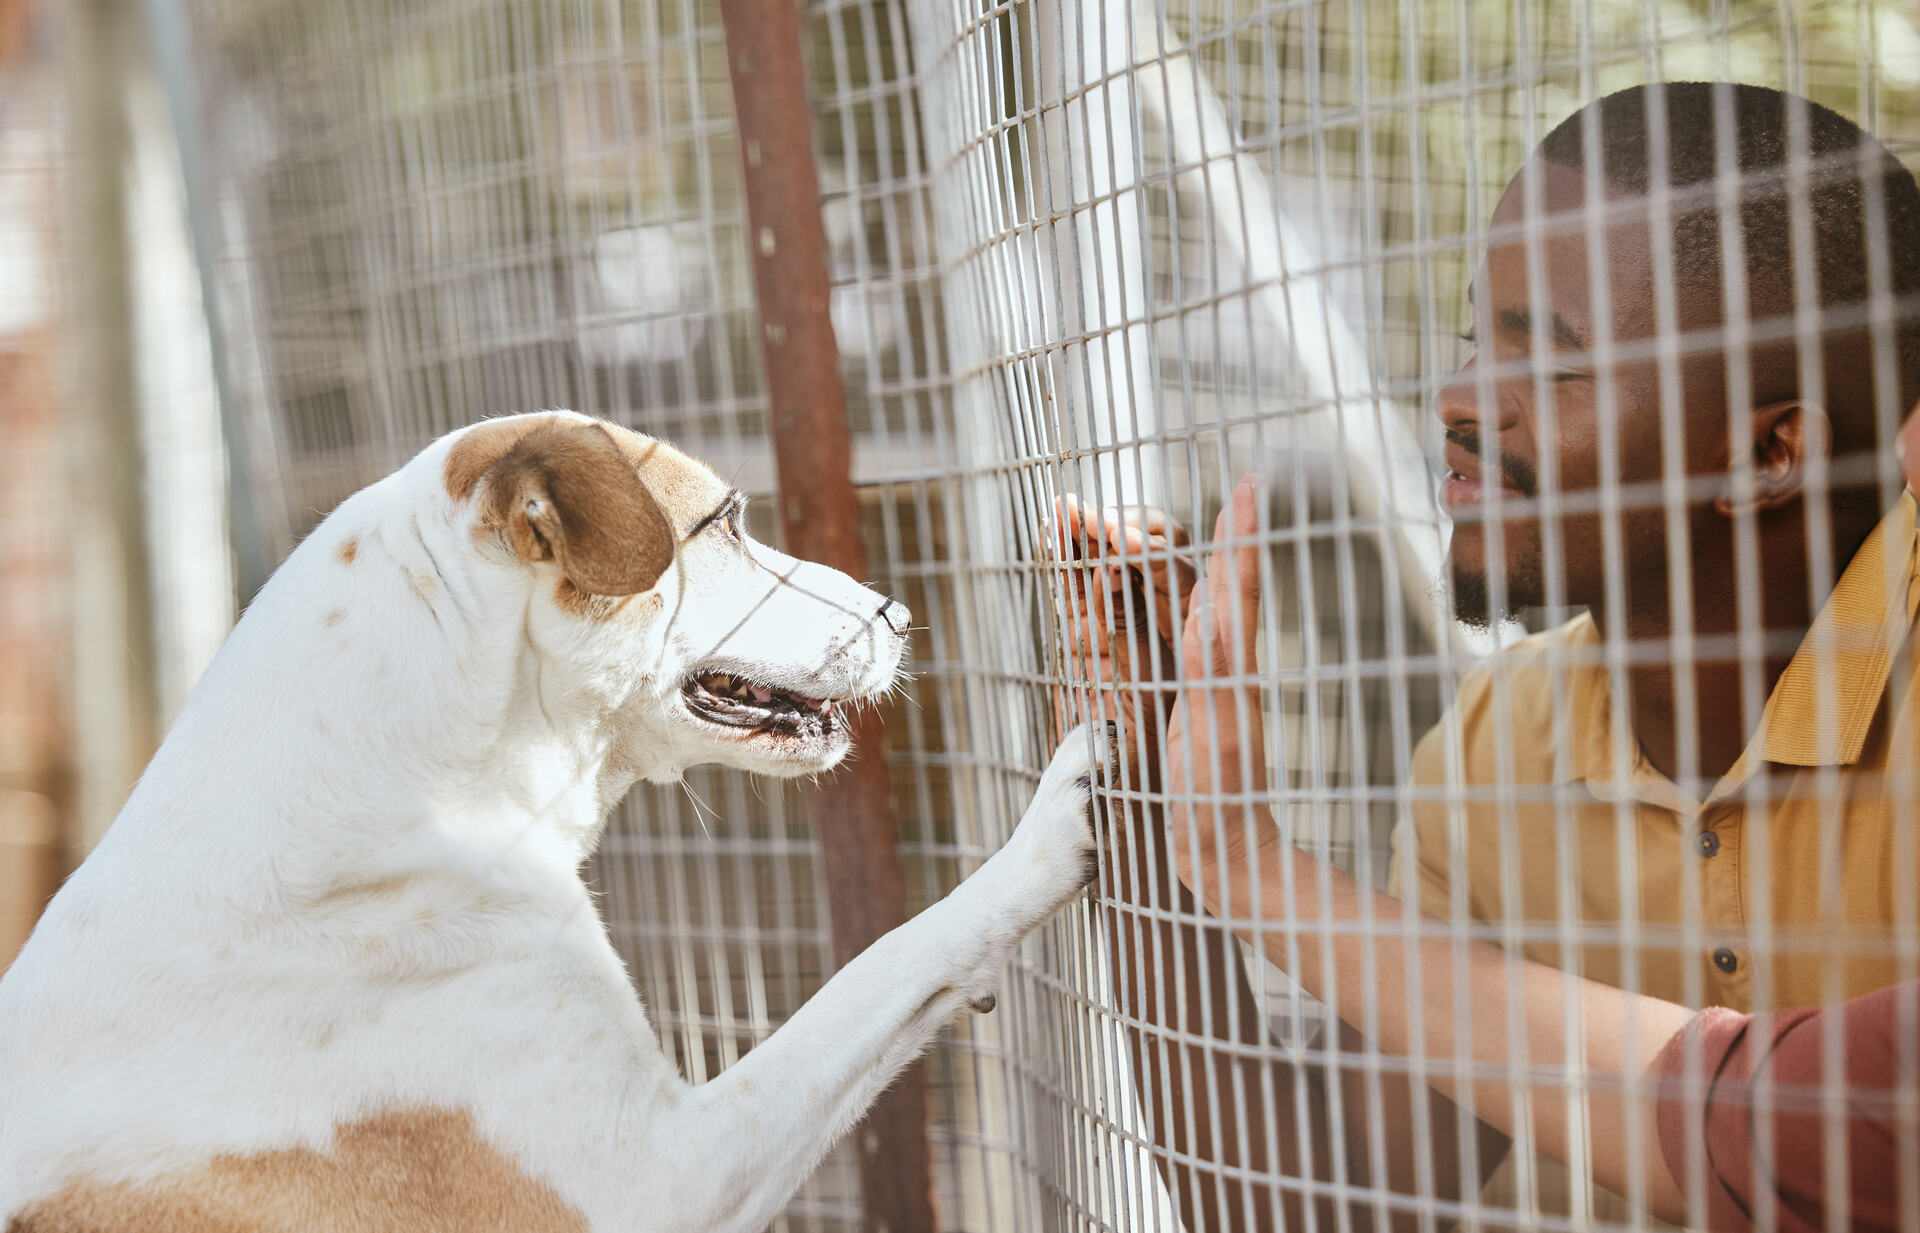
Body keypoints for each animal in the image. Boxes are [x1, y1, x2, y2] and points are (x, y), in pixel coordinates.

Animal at [0, 407, 1113, 1221]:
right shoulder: (667, 1178)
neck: (415, 795)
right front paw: (1040, 840)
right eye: (725, 524)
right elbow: (885, 964)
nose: (899, 614)